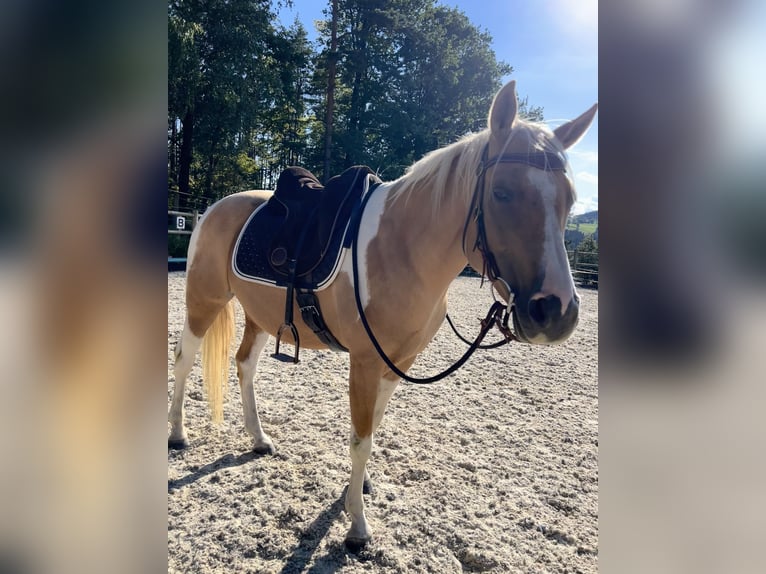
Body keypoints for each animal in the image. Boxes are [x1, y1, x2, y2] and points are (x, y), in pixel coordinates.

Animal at [168, 80, 597, 551]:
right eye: (501, 192)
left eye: (570, 200)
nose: (556, 311)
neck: (403, 247)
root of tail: (213, 209)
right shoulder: (365, 361)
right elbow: (361, 439)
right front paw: (357, 525)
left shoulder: (397, 362)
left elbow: (373, 427)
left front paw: (356, 490)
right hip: (203, 300)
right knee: (184, 359)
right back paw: (177, 435)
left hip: (260, 315)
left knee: (245, 365)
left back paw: (259, 439)